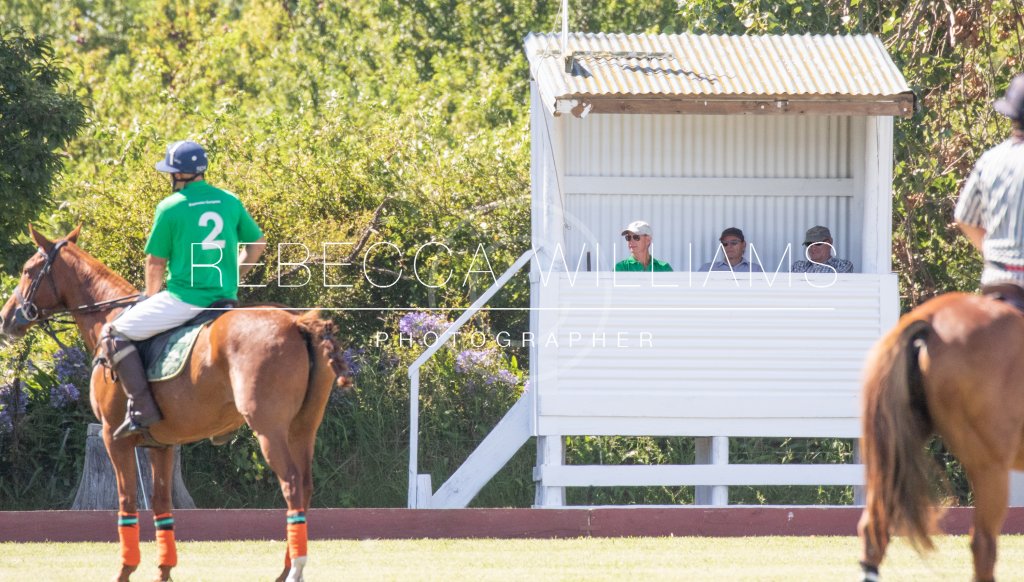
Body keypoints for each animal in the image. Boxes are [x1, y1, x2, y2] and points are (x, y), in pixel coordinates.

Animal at [0, 226, 351, 582]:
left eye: (28, 270)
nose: (7, 318)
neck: (108, 315)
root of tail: (298, 323)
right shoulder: (162, 444)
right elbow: (160, 504)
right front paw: (163, 572)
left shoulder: (113, 436)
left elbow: (127, 501)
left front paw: (125, 570)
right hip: (303, 427)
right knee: (304, 486)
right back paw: (287, 568)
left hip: (268, 427)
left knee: (291, 485)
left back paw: (293, 570)